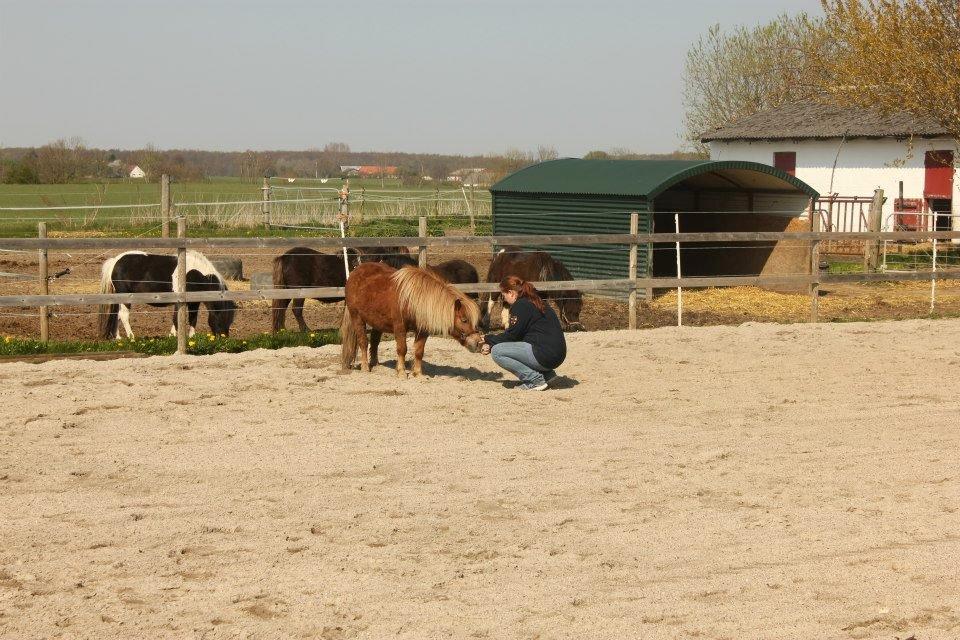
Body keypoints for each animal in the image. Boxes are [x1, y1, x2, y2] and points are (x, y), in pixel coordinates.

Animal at [98, 250, 237, 340]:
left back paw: (118, 338)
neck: (196, 274)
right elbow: (176, 319)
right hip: (125, 297)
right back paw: (132, 338)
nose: (224, 338)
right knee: (124, 315)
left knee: (117, 315)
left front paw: (192, 337)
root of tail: (115, 261)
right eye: (221, 316)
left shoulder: (194, 302)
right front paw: (172, 337)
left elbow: (193, 319)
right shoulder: (179, 300)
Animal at [342, 262, 484, 378]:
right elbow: (402, 349)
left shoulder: (422, 331)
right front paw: (401, 372)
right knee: (363, 342)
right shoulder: (400, 328)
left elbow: (419, 351)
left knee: (375, 341)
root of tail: (355, 272)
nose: (479, 343)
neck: (412, 300)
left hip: (378, 322)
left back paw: (375, 364)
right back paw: (365, 367)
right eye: (464, 320)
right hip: (357, 318)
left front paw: (418, 373)